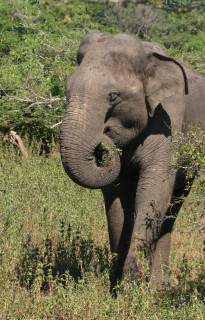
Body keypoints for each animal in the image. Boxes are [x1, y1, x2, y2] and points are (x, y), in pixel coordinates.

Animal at [60, 31, 205, 288]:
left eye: (113, 96)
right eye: (66, 90)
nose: (103, 137)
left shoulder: (169, 120)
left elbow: (153, 194)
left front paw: (131, 287)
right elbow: (116, 203)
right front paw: (116, 285)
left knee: (173, 206)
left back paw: (159, 286)